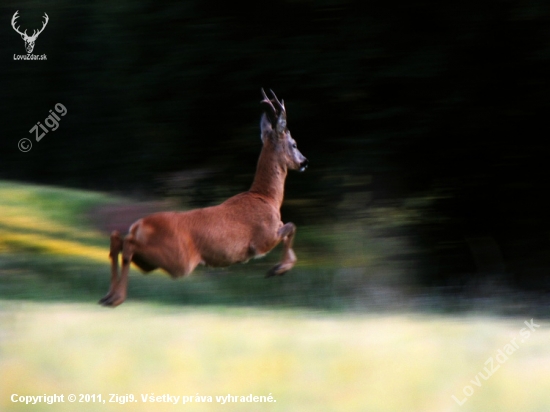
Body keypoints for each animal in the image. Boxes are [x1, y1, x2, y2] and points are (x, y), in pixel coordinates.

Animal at [100, 89, 310, 306]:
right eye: (294, 144)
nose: (305, 162)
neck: (267, 198)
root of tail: (139, 225)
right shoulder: (263, 239)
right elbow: (292, 226)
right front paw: (278, 269)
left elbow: (291, 227)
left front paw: (279, 268)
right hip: (179, 260)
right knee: (127, 245)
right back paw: (116, 298)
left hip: (152, 262)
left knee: (117, 240)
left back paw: (109, 296)